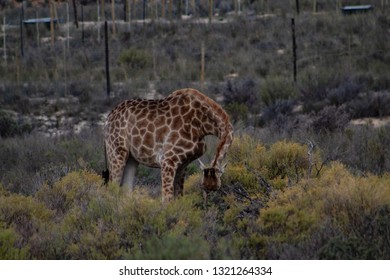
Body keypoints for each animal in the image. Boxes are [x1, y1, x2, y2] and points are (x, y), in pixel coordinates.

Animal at [102, 87, 233, 201]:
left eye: (216, 188)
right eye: (203, 186)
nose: (207, 202)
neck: (201, 124)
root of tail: (108, 117)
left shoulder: (183, 165)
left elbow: (179, 198)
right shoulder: (168, 160)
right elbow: (167, 200)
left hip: (131, 158)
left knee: (126, 191)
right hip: (117, 152)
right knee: (111, 190)